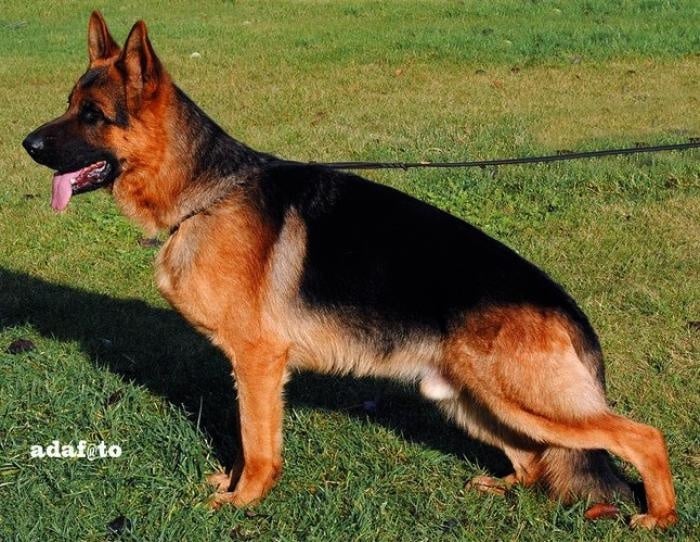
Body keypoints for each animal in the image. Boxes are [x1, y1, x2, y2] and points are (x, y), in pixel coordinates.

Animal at [23, 12, 680, 532]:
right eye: (68, 105)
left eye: (92, 115)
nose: (27, 145)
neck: (204, 192)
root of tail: (571, 314)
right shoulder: (249, 368)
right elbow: (245, 436)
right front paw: (232, 486)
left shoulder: (258, 362)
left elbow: (256, 444)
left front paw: (244, 502)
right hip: (471, 400)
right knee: (531, 458)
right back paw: (506, 487)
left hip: (524, 399)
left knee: (641, 436)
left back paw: (659, 516)